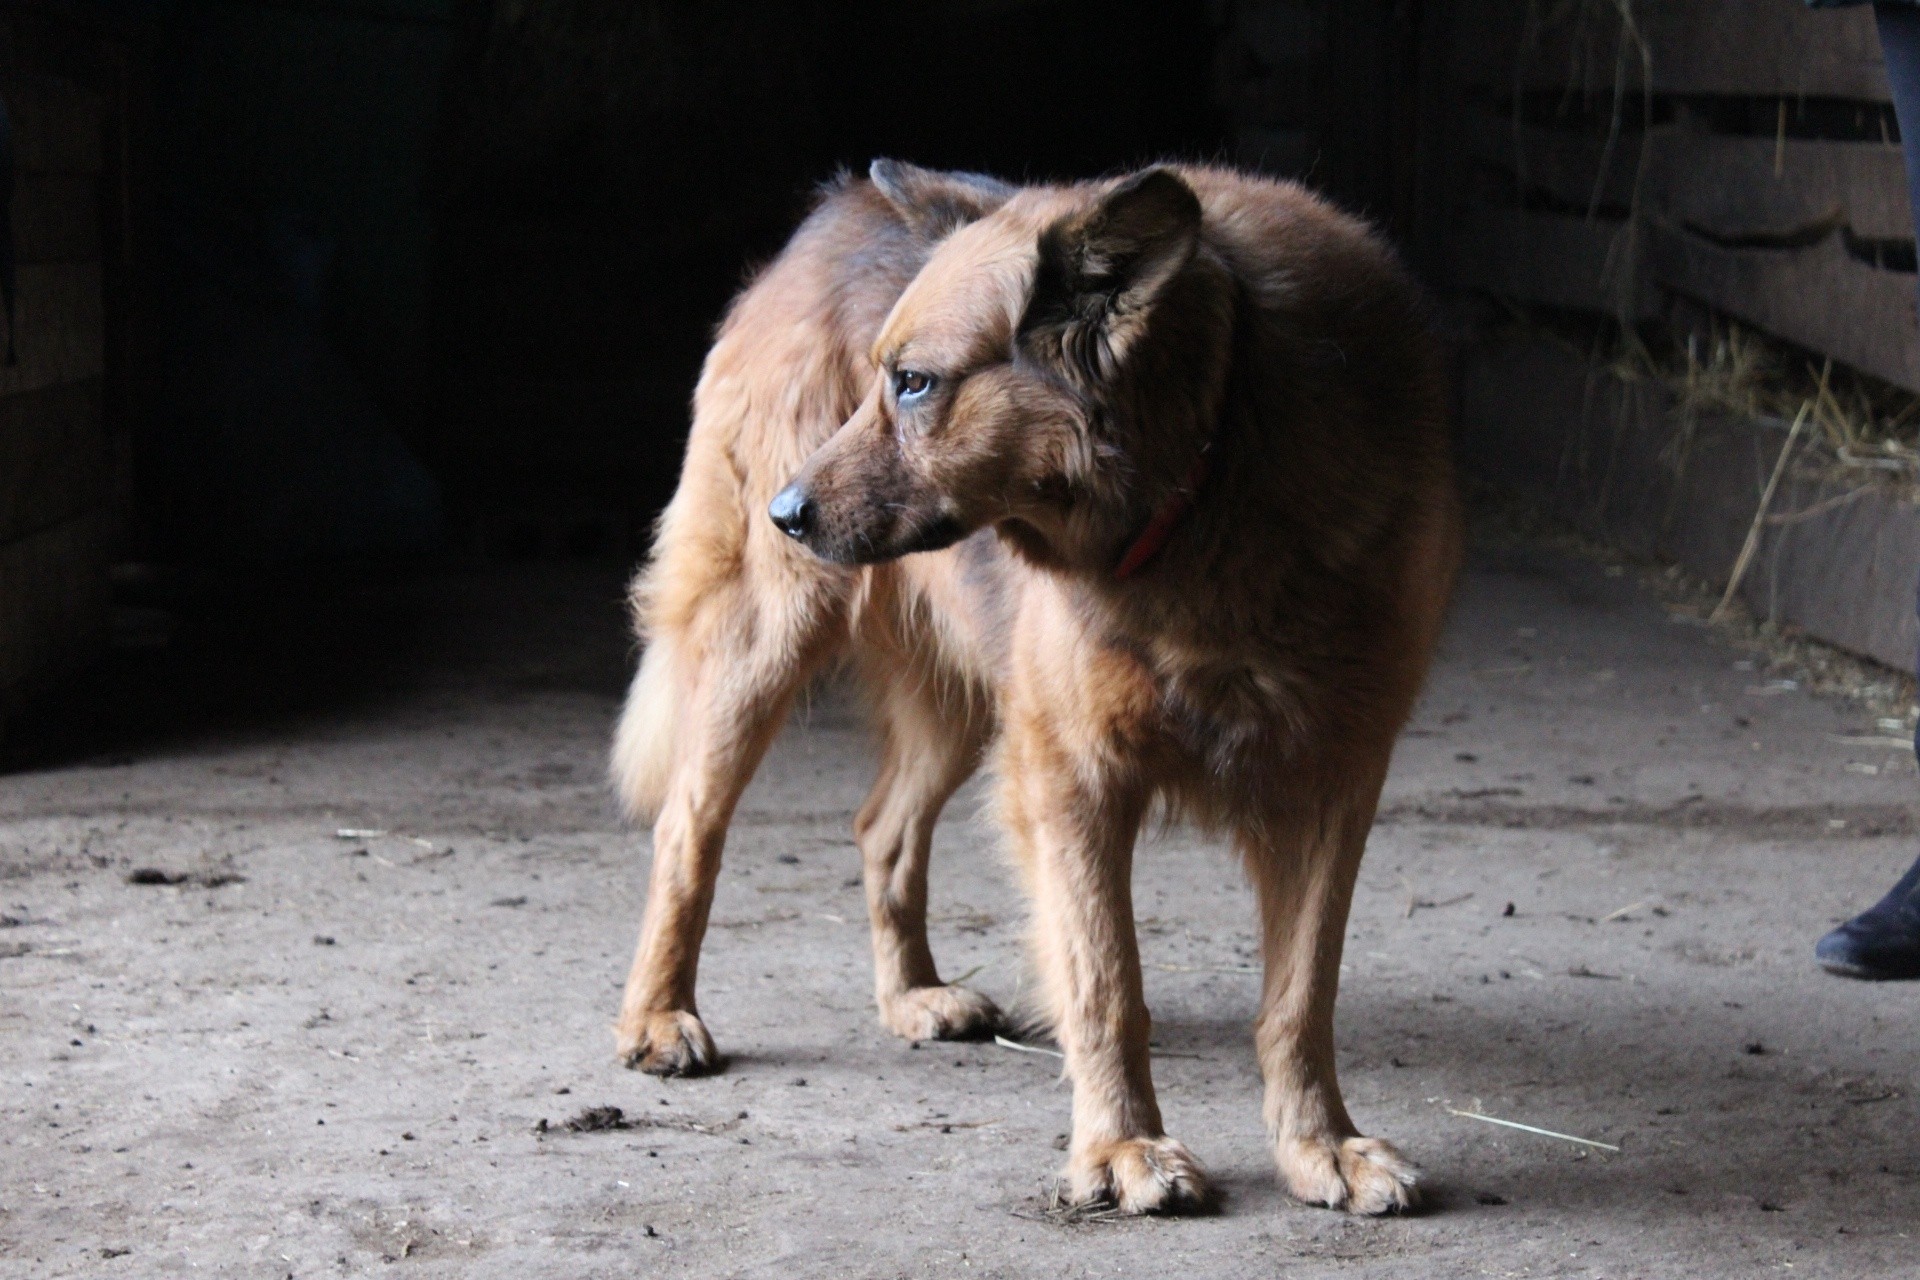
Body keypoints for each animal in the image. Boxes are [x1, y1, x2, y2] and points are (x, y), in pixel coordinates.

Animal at [610, 159, 1462, 1216]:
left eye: (915, 383)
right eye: (886, 378)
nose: (785, 514)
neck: (1213, 462)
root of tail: (838, 204)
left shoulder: (1332, 777)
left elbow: (1301, 996)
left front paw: (1320, 1145)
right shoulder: (1071, 771)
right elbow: (1106, 981)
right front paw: (1123, 1146)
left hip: (966, 698)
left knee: (884, 828)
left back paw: (911, 997)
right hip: (768, 639)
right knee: (688, 826)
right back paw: (658, 1015)